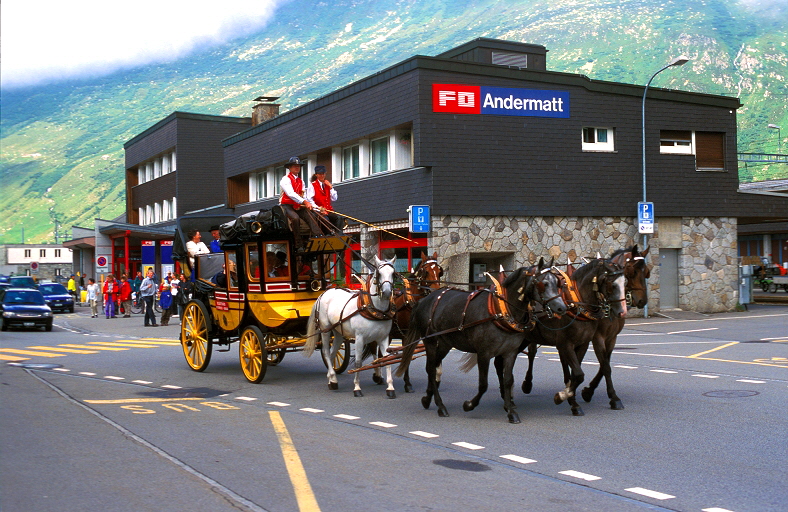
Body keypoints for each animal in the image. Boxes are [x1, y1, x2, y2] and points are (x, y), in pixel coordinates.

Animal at [304, 255, 398, 396]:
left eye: (393, 274)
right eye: (379, 274)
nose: (387, 292)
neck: (374, 309)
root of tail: (324, 293)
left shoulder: (383, 338)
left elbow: (387, 360)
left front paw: (390, 388)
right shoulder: (359, 338)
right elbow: (358, 362)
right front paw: (357, 388)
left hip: (338, 332)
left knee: (332, 353)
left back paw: (332, 378)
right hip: (325, 330)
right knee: (326, 352)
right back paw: (332, 379)